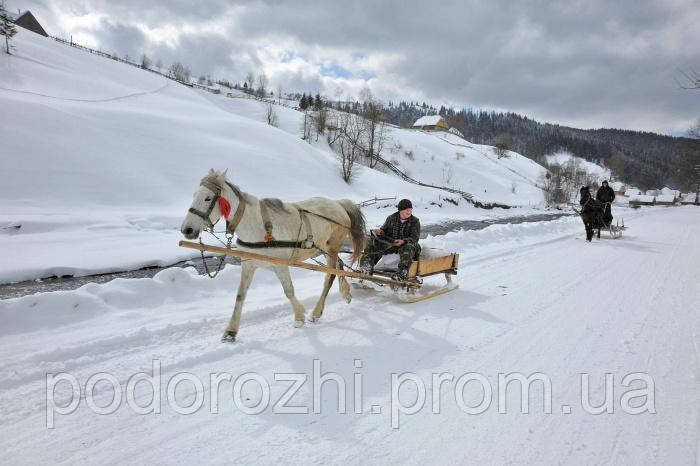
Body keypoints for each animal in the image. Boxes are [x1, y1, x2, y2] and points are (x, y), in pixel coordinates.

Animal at [179, 169, 366, 340]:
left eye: (207, 198)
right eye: (194, 195)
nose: (186, 229)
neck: (257, 226)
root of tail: (338, 203)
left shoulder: (280, 265)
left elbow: (289, 291)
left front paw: (299, 316)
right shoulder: (248, 265)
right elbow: (240, 295)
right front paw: (231, 331)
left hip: (332, 247)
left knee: (330, 276)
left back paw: (316, 312)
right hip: (324, 248)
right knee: (339, 267)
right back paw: (345, 293)